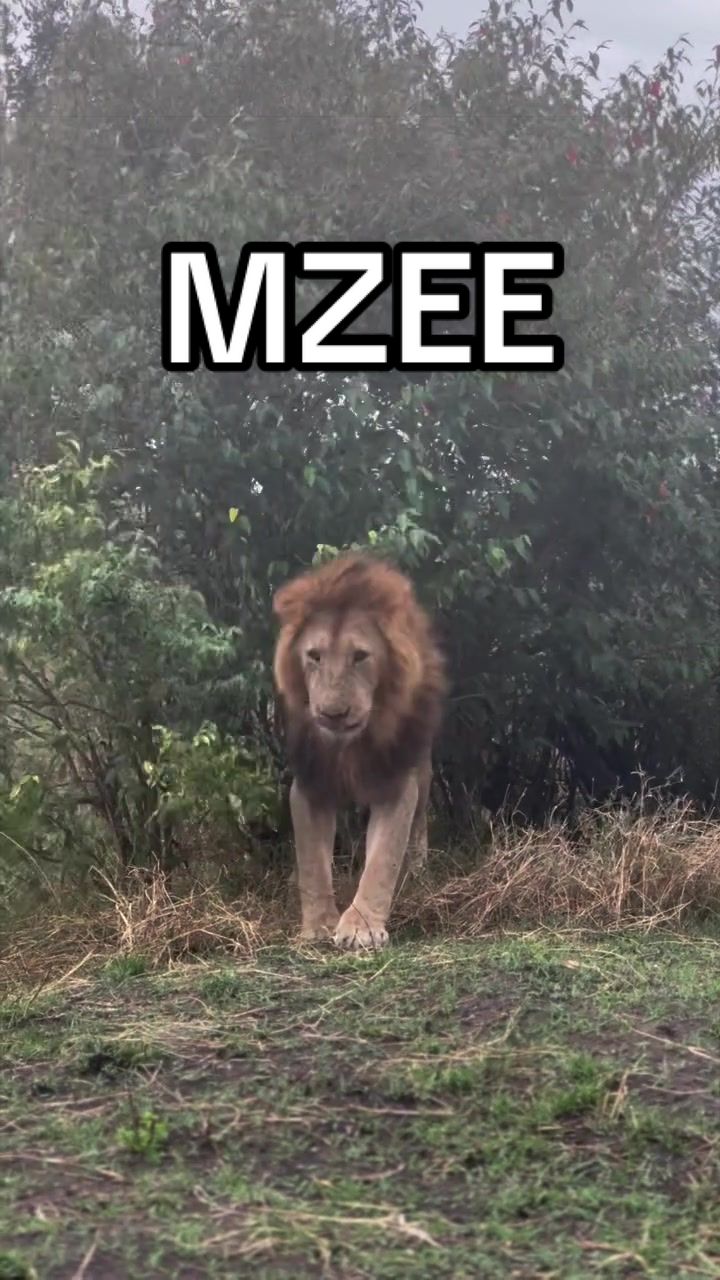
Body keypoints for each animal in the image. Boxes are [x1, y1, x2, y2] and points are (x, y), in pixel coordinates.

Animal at [272, 553, 446, 950]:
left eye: (360, 656)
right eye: (314, 656)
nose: (333, 714)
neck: (348, 747)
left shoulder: (397, 783)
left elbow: (383, 860)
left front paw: (361, 927)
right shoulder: (310, 784)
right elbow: (311, 860)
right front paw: (318, 925)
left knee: (418, 826)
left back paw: (418, 872)